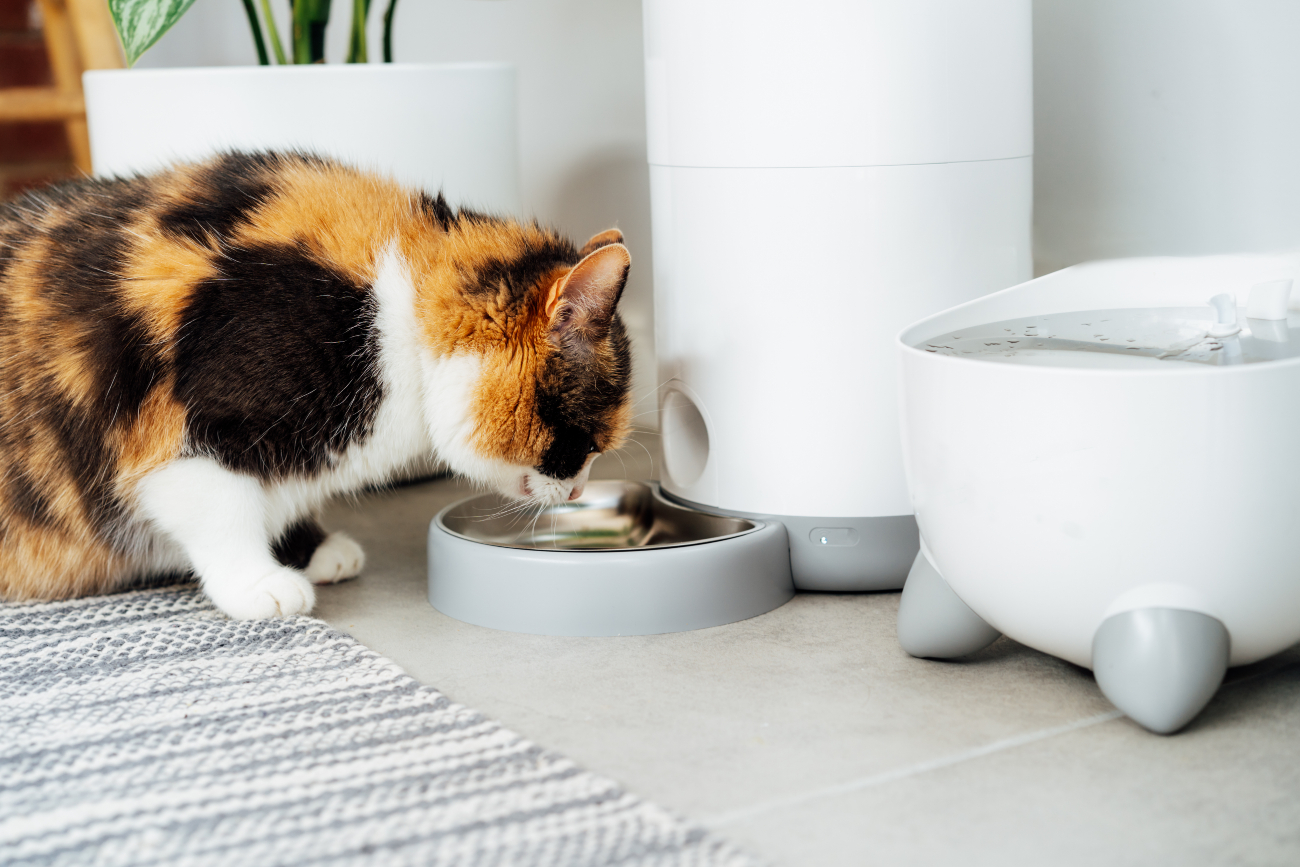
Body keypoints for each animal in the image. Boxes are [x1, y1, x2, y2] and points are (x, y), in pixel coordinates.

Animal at [0, 152, 634, 621]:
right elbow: (221, 509)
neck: (390, 311)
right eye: (585, 442)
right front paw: (258, 583)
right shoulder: (191, 434)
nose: (579, 490)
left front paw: (311, 548)